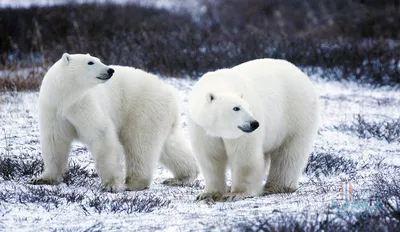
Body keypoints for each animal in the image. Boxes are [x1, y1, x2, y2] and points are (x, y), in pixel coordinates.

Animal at [30, 53, 199, 192]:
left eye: (98, 59)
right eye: (90, 62)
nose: (110, 70)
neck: (66, 96)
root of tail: (171, 92)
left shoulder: (83, 103)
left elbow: (101, 134)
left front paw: (111, 185)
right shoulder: (53, 109)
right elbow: (55, 140)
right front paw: (43, 178)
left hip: (143, 110)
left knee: (139, 144)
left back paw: (134, 183)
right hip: (160, 115)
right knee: (169, 146)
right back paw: (182, 177)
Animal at [187, 58, 318, 201]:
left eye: (249, 108)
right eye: (236, 108)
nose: (254, 123)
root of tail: (300, 72)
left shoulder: (242, 134)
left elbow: (244, 156)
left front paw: (236, 194)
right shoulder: (202, 128)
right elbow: (210, 156)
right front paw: (208, 194)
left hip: (296, 115)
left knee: (289, 153)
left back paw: (277, 186)